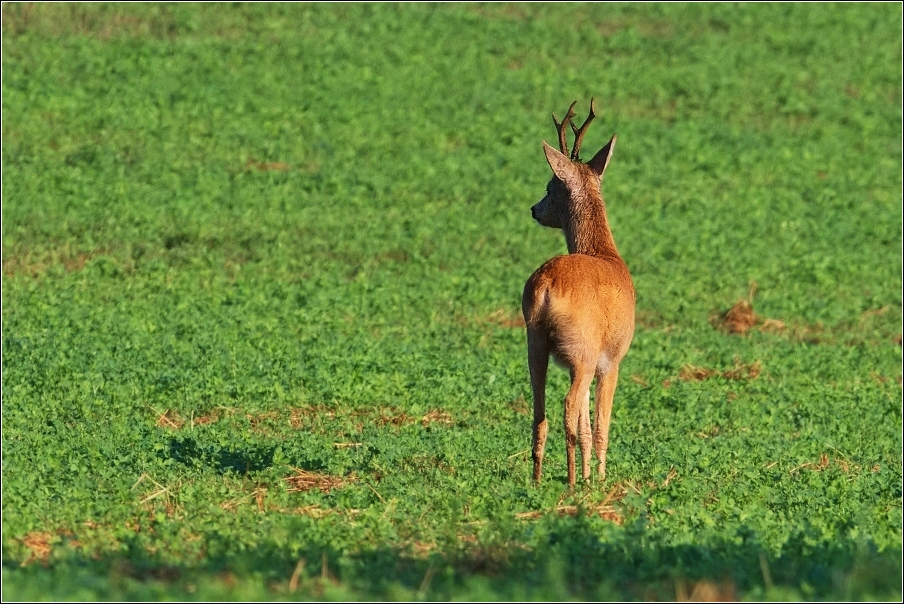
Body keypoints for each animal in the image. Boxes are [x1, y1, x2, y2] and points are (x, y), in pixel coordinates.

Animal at [524, 98, 636, 486]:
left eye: (549, 187)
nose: (534, 208)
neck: (604, 251)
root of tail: (546, 287)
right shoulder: (612, 359)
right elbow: (600, 426)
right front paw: (598, 480)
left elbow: (588, 428)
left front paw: (590, 478)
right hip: (582, 352)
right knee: (568, 406)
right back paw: (572, 481)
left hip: (535, 343)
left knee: (539, 409)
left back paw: (538, 479)